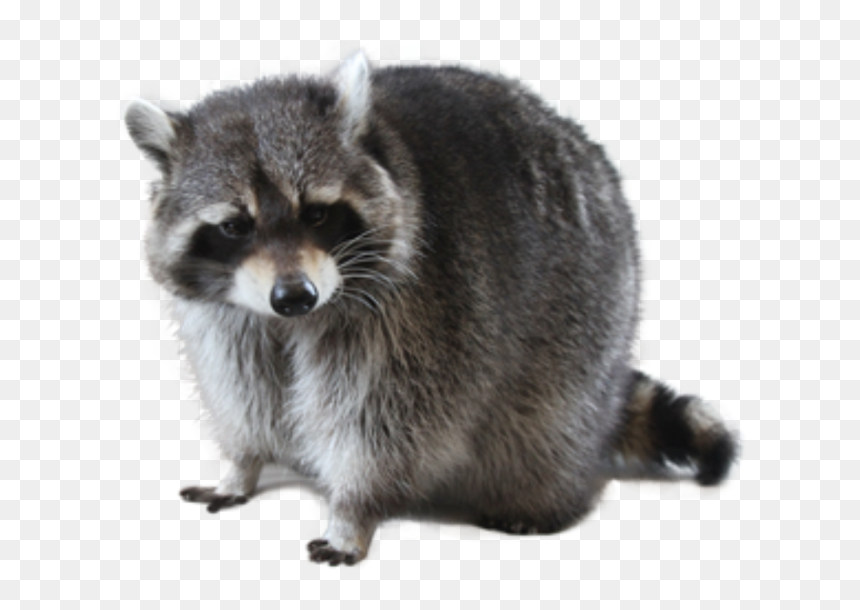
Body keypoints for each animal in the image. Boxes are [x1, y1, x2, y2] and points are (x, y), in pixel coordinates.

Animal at [125, 52, 737, 566]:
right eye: (235, 226)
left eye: (317, 214)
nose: (295, 296)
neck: (292, 320)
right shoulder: (232, 319)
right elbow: (243, 391)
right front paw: (242, 464)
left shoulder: (422, 310)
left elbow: (382, 424)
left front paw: (351, 510)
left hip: (590, 305)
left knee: (548, 418)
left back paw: (542, 496)